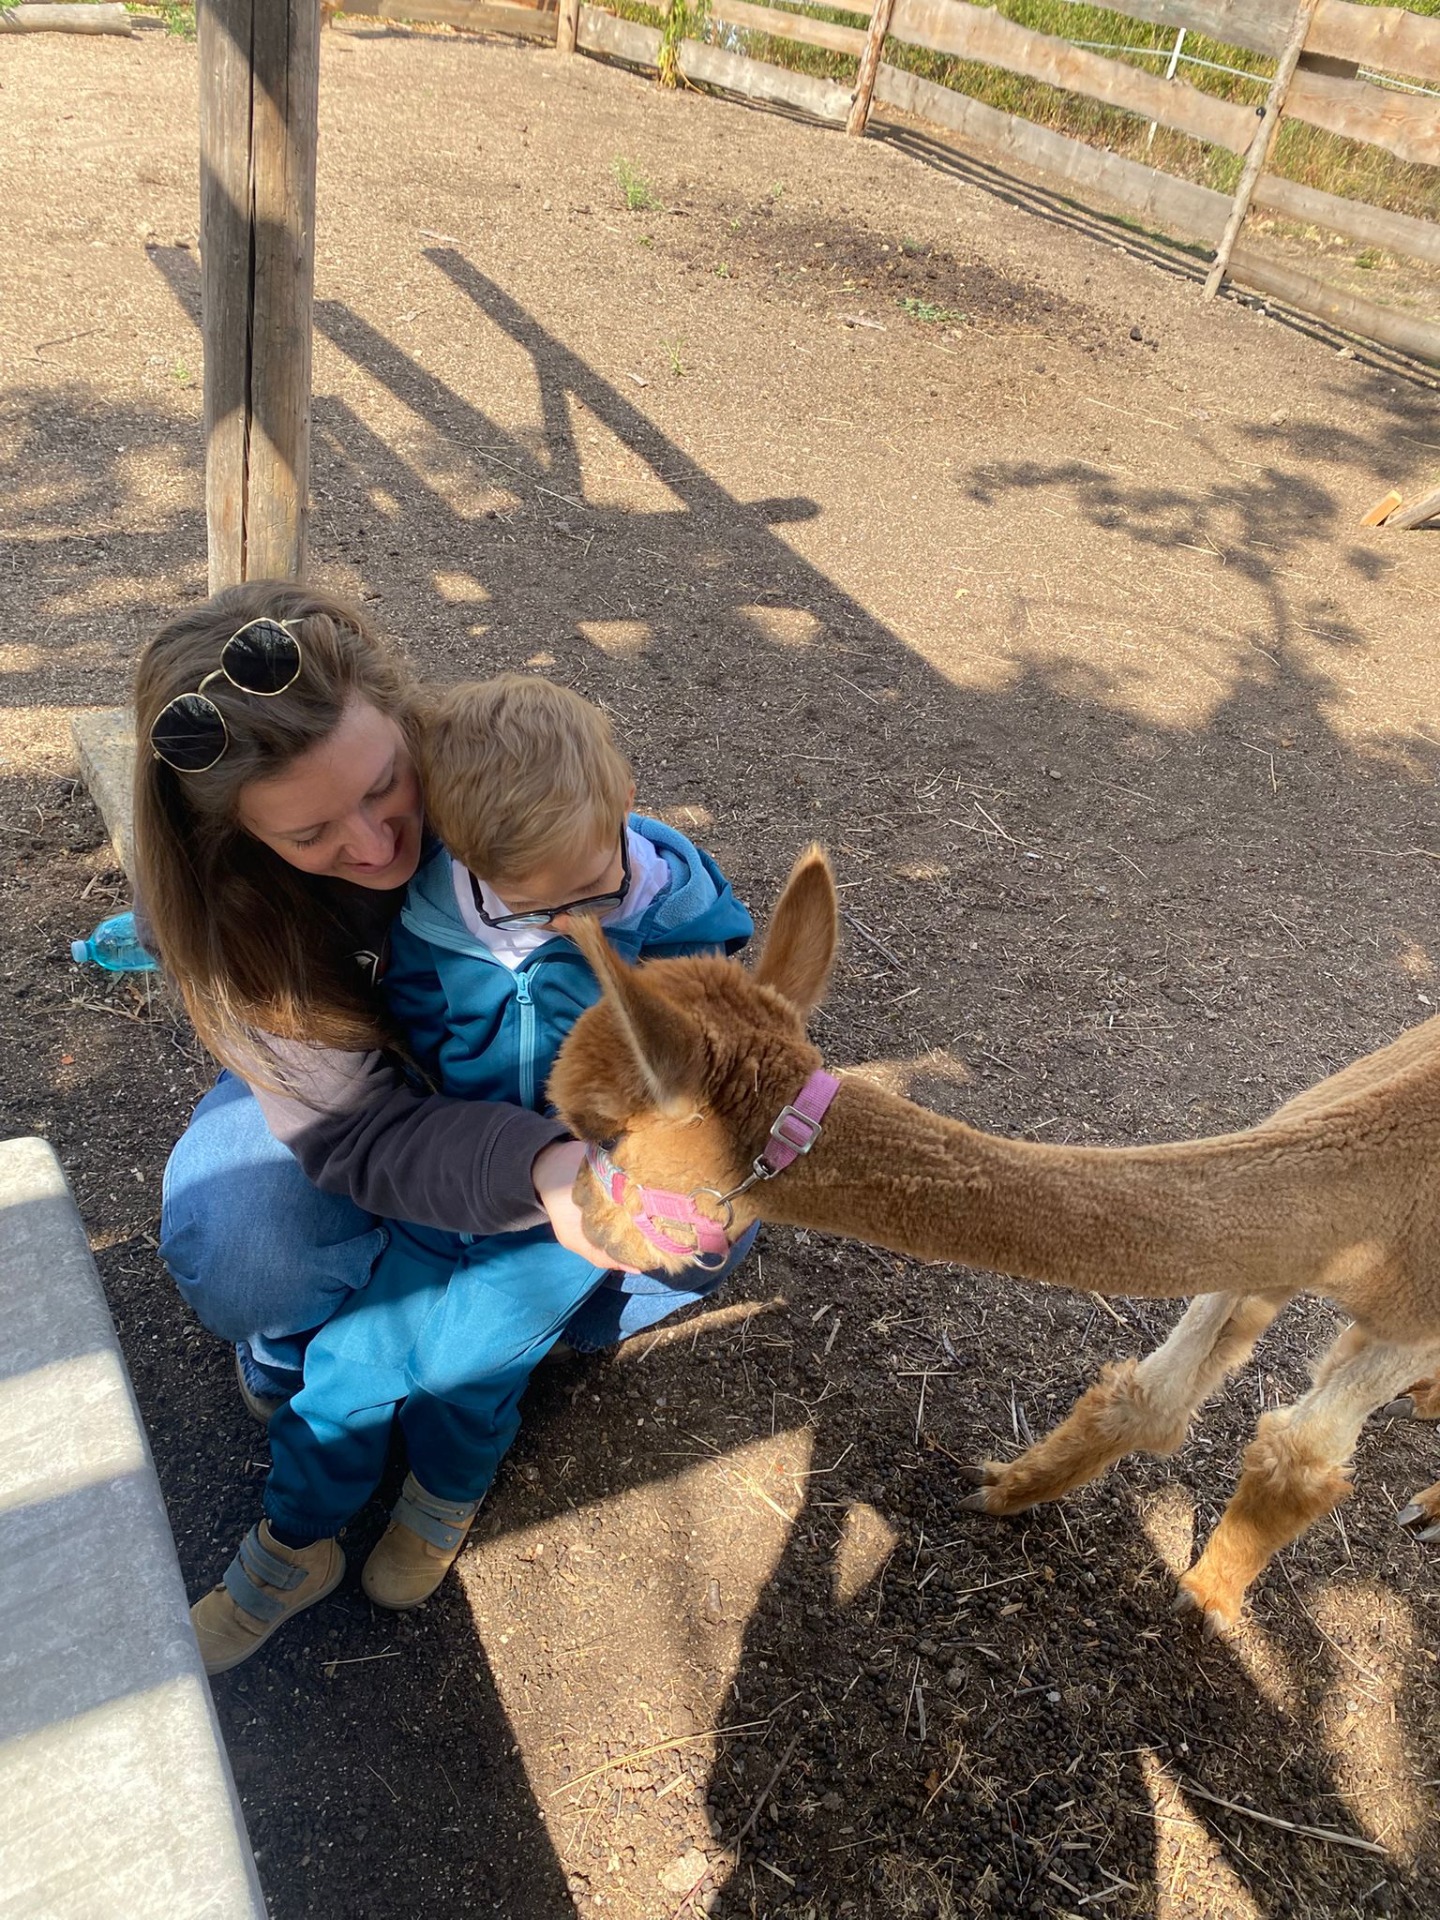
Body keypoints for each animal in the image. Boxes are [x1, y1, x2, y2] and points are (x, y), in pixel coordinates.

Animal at [548, 846, 1440, 1636]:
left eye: (594, 1126)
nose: (576, 1212)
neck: (1380, 1196)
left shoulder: (1402, 1307)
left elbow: (1300, 1454)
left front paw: (1207, 1598)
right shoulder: (1264, 1245)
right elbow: (1153, 1395)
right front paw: (1006, 1489)